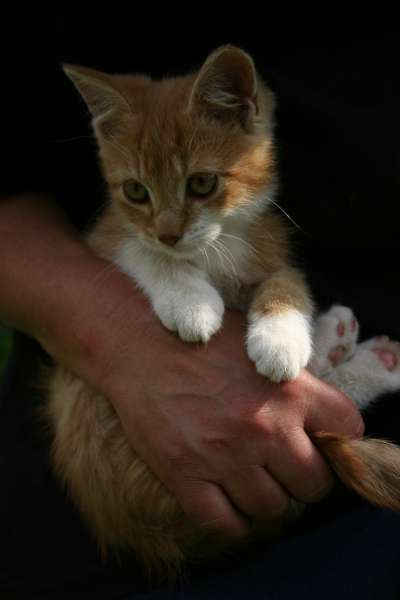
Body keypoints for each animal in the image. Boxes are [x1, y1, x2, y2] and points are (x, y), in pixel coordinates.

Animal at [45, 45, 400, 576]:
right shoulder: (108, 236)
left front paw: (280, 338)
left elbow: (287, 283)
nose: (170, 233)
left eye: (201, 183)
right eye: (135, 191)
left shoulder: (271, 244)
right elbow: (139, 249)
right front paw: (191, 302)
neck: (218, 245)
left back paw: (350, 351)